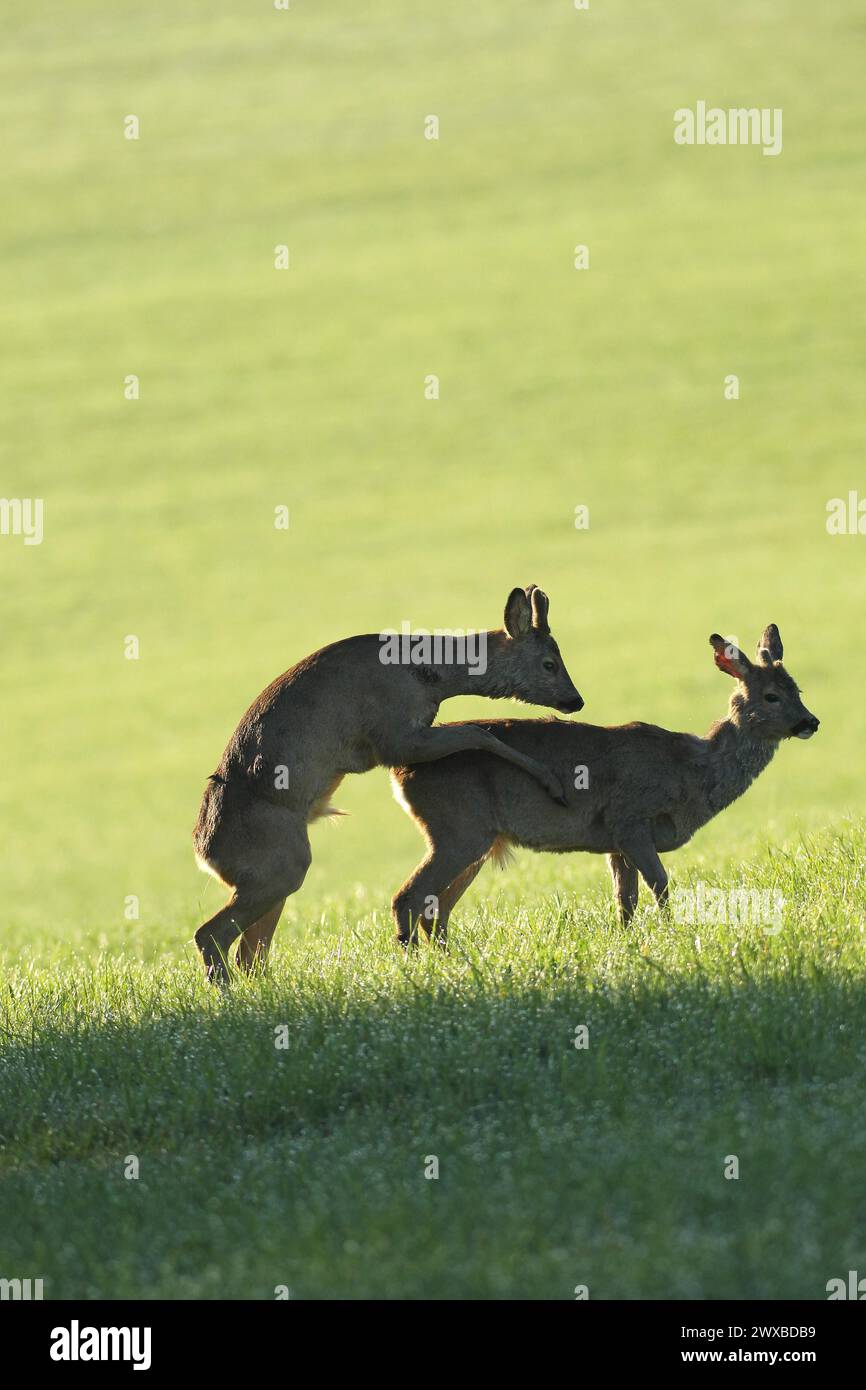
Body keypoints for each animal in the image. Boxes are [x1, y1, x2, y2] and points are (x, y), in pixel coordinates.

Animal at [194, 581, 586, 984]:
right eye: (550, 663)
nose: (576, 700)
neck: (427, 676)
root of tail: (204, 854)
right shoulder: (394, 736)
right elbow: (479, 734)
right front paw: (553, 784)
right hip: (279, 864)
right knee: (210, 934)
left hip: (273, 875)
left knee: (248, 952)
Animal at [391, 628, 817, 945]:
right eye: (771, 696)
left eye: (797, 689)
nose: (810, 722)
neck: (691, 773)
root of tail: (400, 773)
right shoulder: (630, 820)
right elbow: (660, 885)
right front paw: (673, 933)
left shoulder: (614, 843)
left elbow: (625, 901)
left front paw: (627, 940)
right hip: (459, 829)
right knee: (408, 899)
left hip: (475, 839)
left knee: (436, 909)